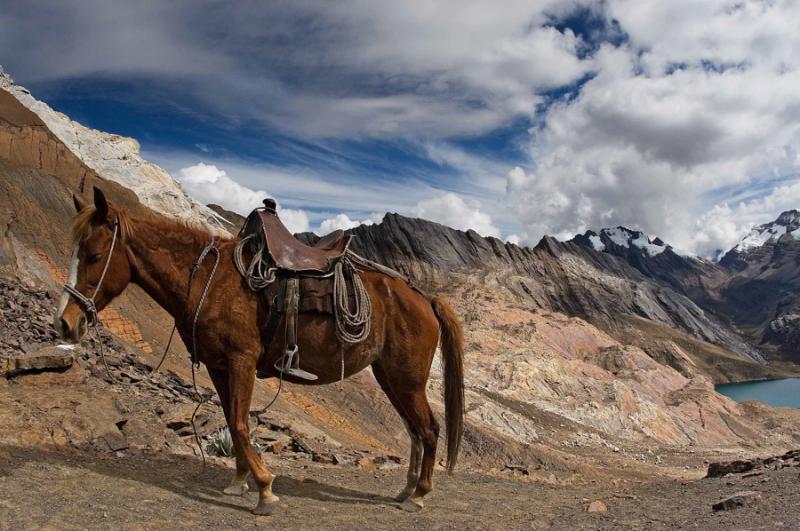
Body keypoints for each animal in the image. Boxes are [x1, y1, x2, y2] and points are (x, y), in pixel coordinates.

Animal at [53, 187, 466, 516]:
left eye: (94, 255)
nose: (66, 323)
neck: (206, 280)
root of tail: (425, 299)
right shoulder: (219, 366)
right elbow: (232, 422)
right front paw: (239, 482)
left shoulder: (242, 360)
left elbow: (238, 422)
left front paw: (265, 489)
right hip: (390, 377)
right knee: (414, 430)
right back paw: (406, 490)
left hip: (406, 378)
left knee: (428, 428)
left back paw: (419, 495)